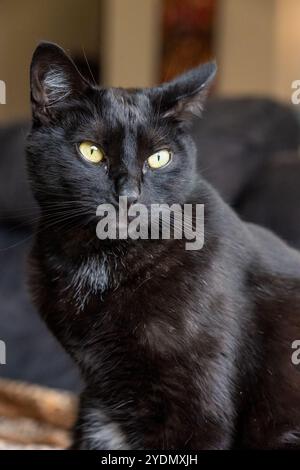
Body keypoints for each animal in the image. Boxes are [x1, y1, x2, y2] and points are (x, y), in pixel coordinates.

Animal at [26, 42, 300, 450]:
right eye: (90, 151)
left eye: (159, 158)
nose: (128, 195)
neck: (103, 263)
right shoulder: (98, 398)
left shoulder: (198, 405)